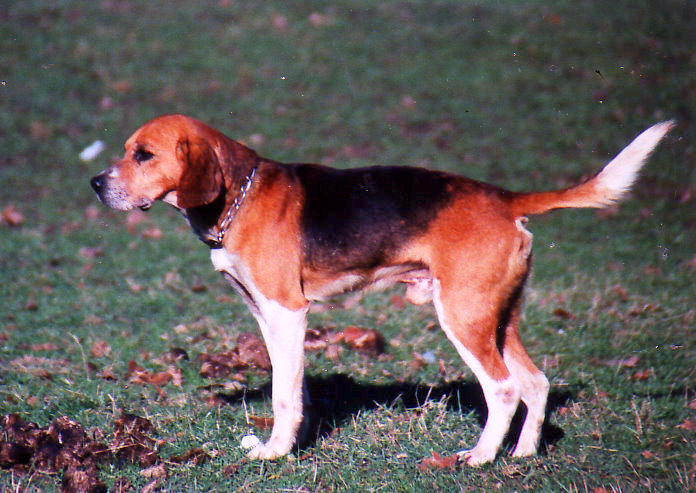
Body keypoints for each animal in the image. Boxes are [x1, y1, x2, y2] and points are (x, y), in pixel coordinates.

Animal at [89, 115, 672, 466]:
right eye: (125, 151)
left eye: (144, 155)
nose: (95, 184)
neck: (239, 195)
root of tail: (504, 198)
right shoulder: (266, 317)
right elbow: (292, 388)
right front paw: (290, 442)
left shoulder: (287, 312)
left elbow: (283, 394)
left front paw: (274, 453)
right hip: (496, 318)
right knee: (536, 383)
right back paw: (522, 455)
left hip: (462, 317)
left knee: (505, 389)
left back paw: (479, 457)